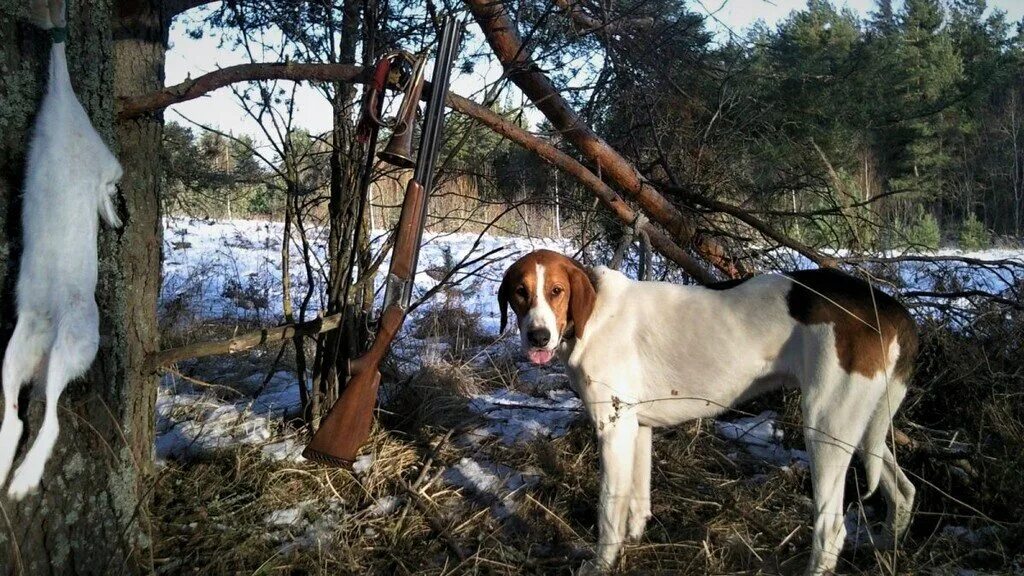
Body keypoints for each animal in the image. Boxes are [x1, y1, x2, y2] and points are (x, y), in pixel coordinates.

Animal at [499, 250, 917, 573]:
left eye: (556, 291)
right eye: (520, 292)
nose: (538, 337)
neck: (593, 315)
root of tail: (890, 307)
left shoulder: (613, 430)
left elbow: (608, 511)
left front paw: (602, 565)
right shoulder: (638, 428)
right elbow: (637, 503)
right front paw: (634, 541)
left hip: (825, 427)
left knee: (831, 530)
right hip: (859, 427)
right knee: (903, 491)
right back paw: (885, 549)